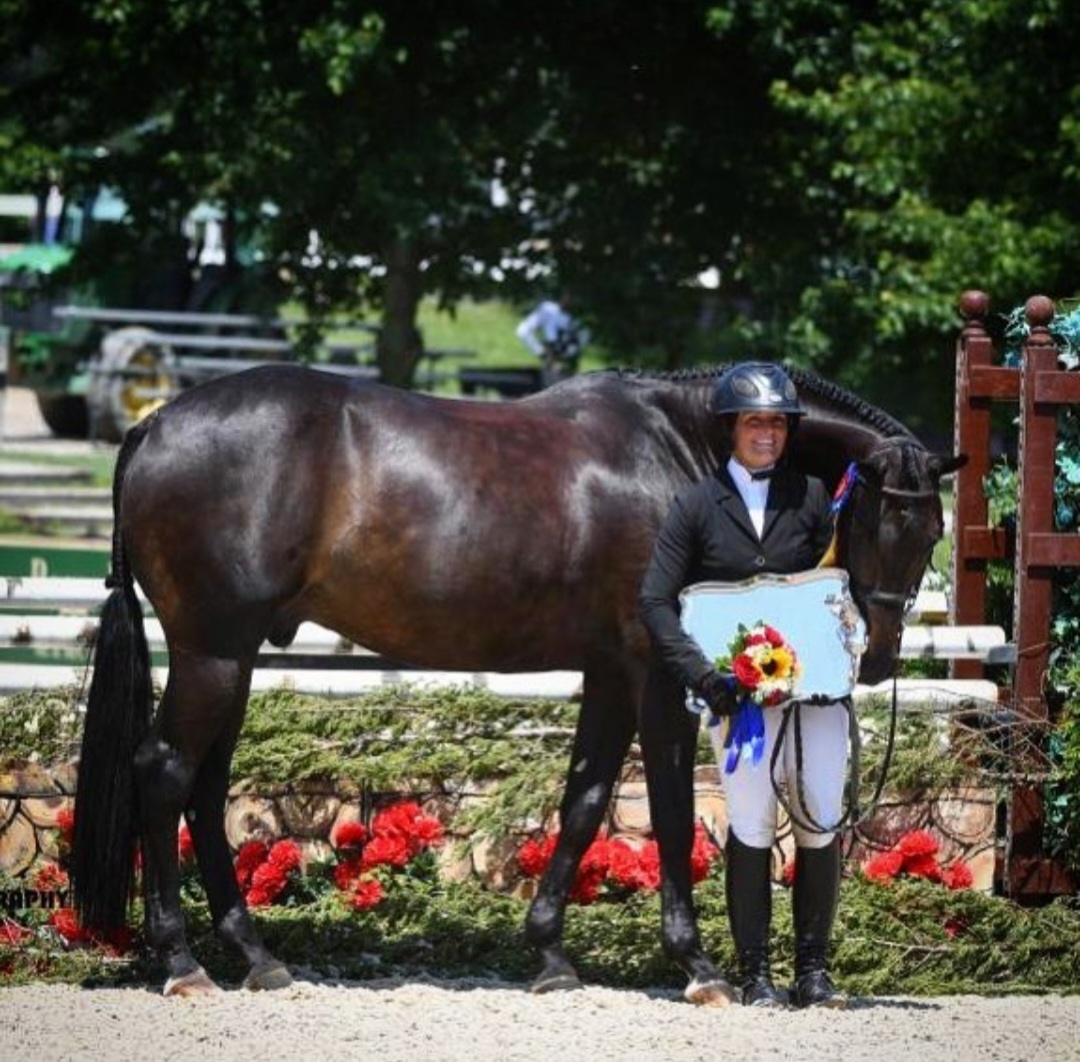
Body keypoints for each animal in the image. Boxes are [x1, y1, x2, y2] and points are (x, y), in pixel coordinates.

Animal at [69, 363, 963, 998]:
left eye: (931, 533)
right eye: (879, 523)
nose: (880, 657)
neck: (678, 449)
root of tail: (152, 426)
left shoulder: (609, 672)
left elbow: (586, 801)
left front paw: (549, 953)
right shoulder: (656, 672)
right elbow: (672, 811)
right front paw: (697, 966)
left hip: (235, 657)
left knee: (205, 787)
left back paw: (255, 956)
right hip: (213, 654)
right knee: (166, 773)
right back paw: (182, 962)